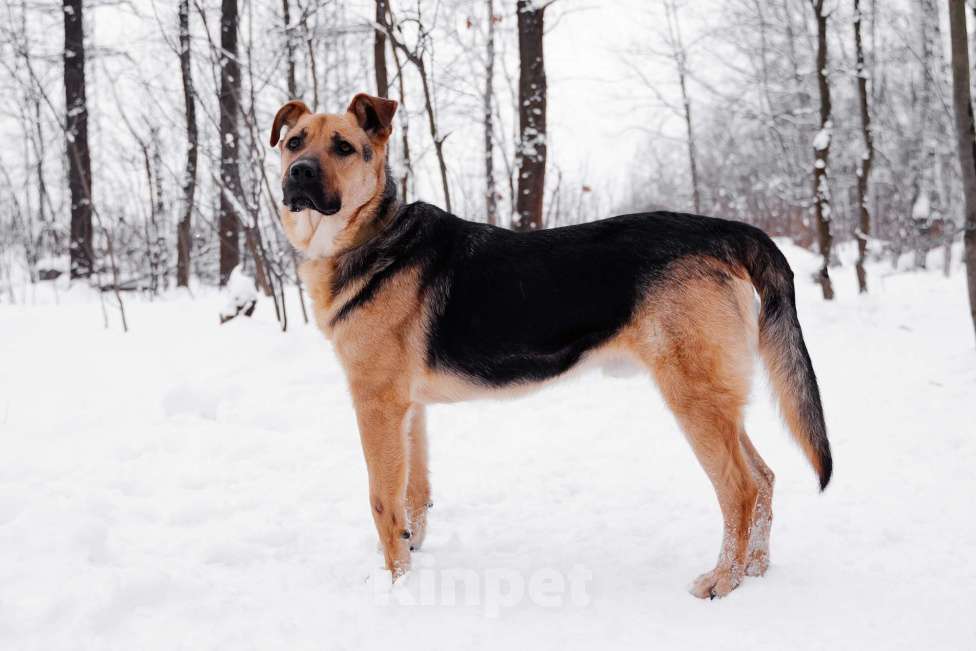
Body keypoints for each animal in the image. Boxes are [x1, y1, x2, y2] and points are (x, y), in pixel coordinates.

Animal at [270, 94, 836, 600]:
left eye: (344, 147)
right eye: (294, 142)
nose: (298, 173)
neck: (370, 235)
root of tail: (725, 230)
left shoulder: (376, 404)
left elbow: (382, 502)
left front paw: (391, 586)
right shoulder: (409, 411)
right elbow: (415, 496)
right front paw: (410, 562)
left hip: (694, 397)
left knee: (740, 489)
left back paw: (724, 580)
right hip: (716, 397)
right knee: (764, 479)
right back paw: (755, 572)